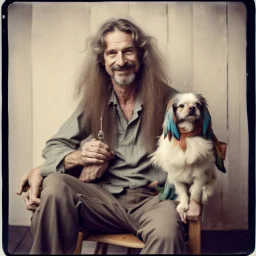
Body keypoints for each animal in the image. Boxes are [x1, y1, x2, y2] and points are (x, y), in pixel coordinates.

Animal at [151, 93, 225, 221]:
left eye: (198, 105)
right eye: (181, 106)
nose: (192, 108)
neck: (187, 136)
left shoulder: (200, 175)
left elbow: (195, 191)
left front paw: (193, 208)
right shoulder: (176, 176)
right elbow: (182, 192)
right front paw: (183, 206)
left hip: (210, 176)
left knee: (206, 188)